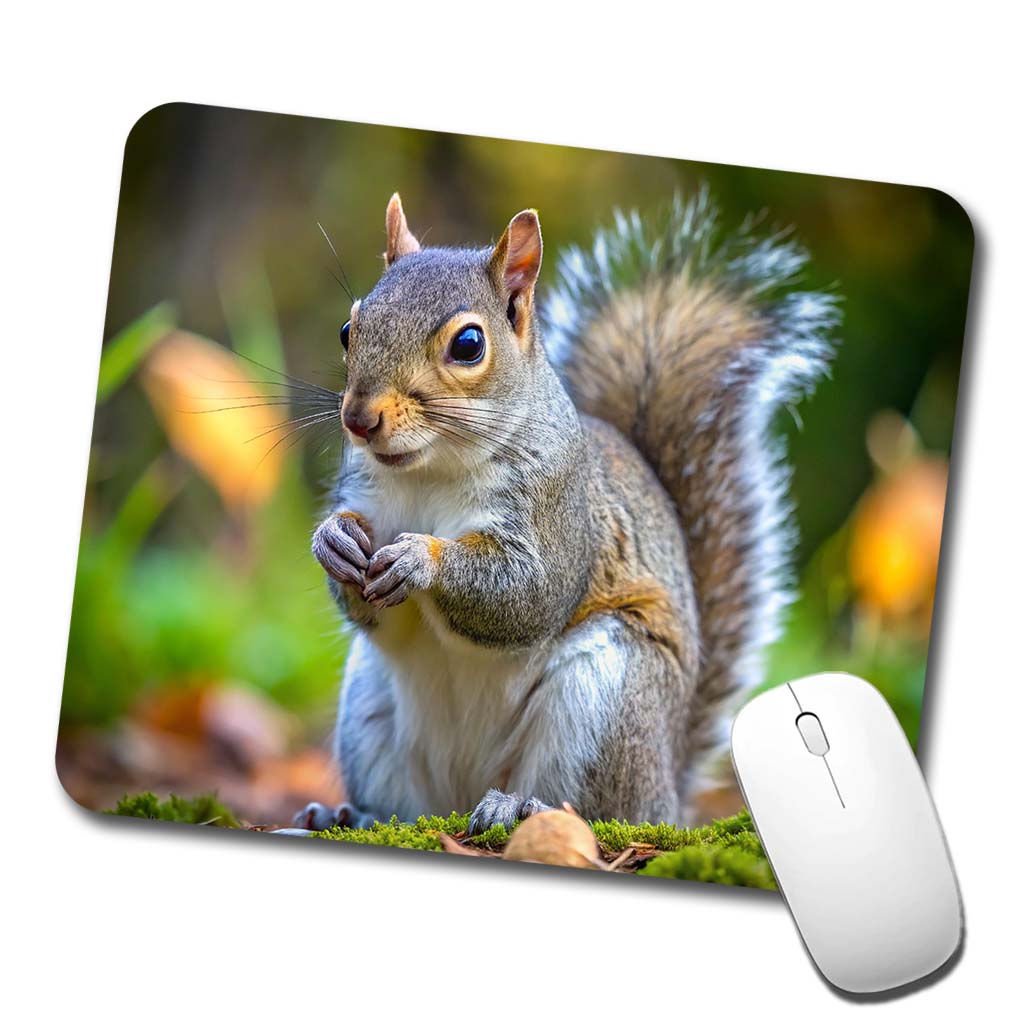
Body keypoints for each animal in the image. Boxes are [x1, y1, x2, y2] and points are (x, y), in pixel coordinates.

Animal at [295, 190, 838, 834]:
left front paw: (420, 558)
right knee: (407, 805)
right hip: (369, 706)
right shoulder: (366, 496)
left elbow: (529, 592)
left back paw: (518, 806)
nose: (359, 419)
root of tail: (667, 793)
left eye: (468, 345)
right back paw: (351, 813)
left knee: (591, 808)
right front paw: (332, 540)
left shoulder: (559, 511)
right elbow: (367, 606)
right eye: (349, 329)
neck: (431, 469)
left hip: (607, 700)